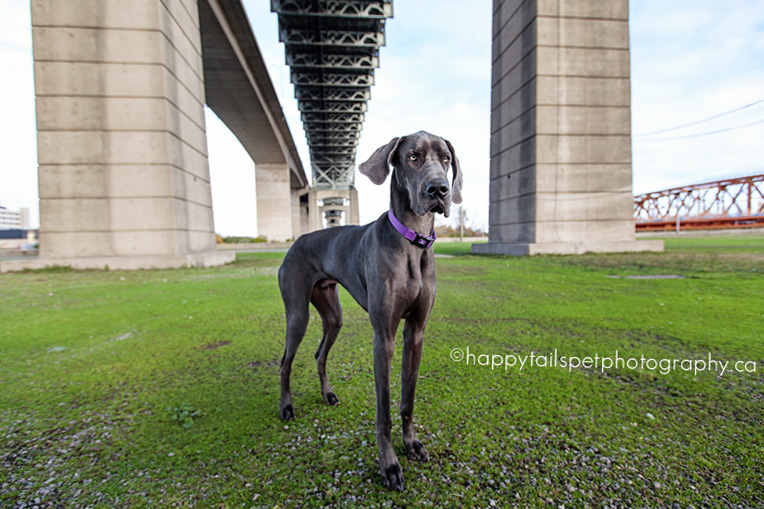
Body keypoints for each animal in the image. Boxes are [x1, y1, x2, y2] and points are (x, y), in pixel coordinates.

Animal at [278, 130, 462, 488]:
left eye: (446, 158)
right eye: (413, 156)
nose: (438, 190)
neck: (412, 240)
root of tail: (296, 242)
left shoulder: (415, 333)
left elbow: (407, 399)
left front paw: (411, 443)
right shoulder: (383, 338)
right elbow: (384, 410)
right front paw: (389, 464)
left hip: (333, 315)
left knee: (320, 353)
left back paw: (328, 395)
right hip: (297, 315)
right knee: (285, 362)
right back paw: (287, 407)